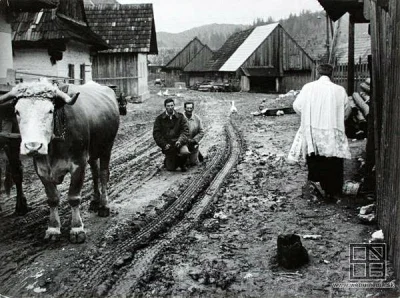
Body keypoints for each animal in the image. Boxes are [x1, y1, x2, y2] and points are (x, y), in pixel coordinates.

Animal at [1, 79, 120, 242]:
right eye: (17, 112)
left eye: (50, 111)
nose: (33, 146)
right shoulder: (42, 169)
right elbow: (52, 198)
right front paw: (53, 229)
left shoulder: (78, 163)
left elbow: (74, 197)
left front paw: (77, 228)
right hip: (93, 152)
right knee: (95, 172)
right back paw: (95, 201)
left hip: (107, 147)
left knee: (103, 175)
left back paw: (103, 206)